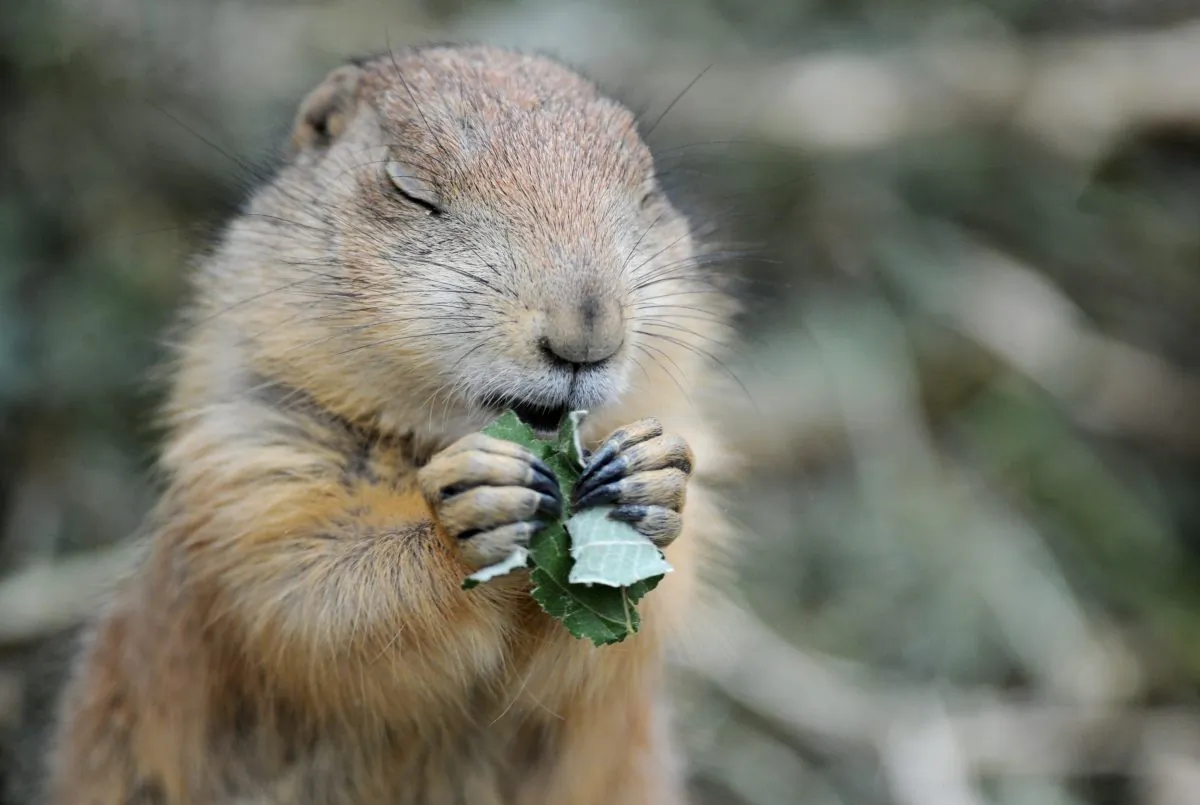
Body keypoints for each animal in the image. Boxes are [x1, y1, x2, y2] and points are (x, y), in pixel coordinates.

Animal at [41, 44, 737, 805]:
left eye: (646, 192)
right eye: (410, 189)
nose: (588, 329)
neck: (434, 440)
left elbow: (608, 651)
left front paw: (652, 475)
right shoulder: (251, 462)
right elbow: (309, 590)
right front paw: (467, 511)